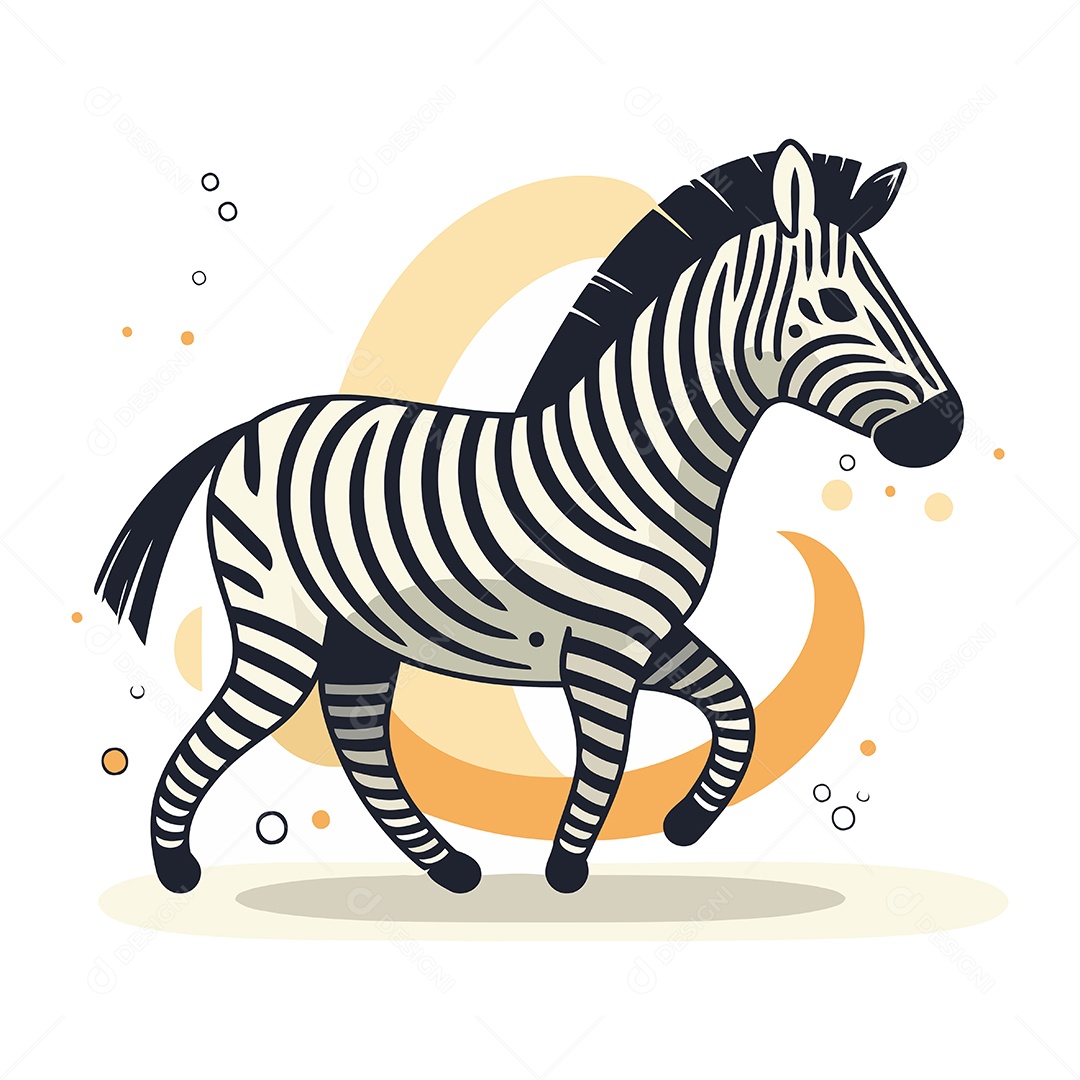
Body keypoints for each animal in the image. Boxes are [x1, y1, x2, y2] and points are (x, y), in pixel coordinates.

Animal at [96, 140, 963, 895]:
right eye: (835, 303)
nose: (947, 429)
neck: (635, 459)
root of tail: (251, 426)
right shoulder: (602, 653)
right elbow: (610, 757)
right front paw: (567, 869)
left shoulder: (647, 638)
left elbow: (737, 707)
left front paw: (684, 823)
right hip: (281, 627)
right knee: (225, 736)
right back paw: (177, 870)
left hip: (358, 633)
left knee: (358, 737)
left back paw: (450, 868)